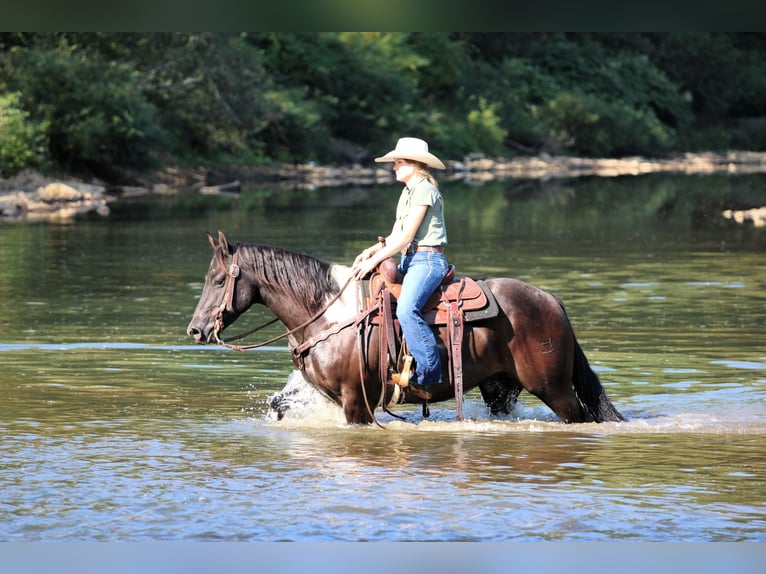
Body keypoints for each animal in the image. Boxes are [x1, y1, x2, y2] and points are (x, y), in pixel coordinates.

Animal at [187, 231, 624, 425]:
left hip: (554, 389)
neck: (328, 315)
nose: (195, 330)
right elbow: (282, 403)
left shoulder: (356, 402)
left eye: (219, 279)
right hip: (500, 389)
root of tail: (551, 301)